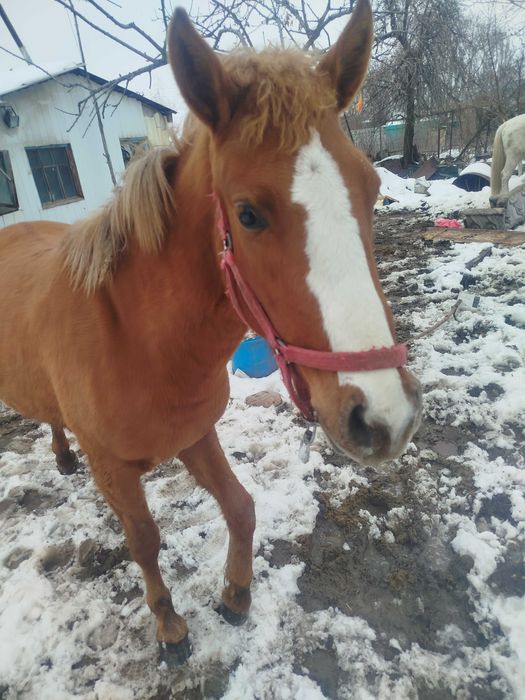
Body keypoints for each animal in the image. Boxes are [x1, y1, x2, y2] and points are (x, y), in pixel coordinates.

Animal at [0, 0, 421, 665]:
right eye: (247, 214)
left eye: (373, 190)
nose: (385, 418)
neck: (139, 341)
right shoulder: (114, 470)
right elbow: (144, 541)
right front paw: (170, 628)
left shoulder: (195, 434)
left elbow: (241, 507)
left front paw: (236, 595)